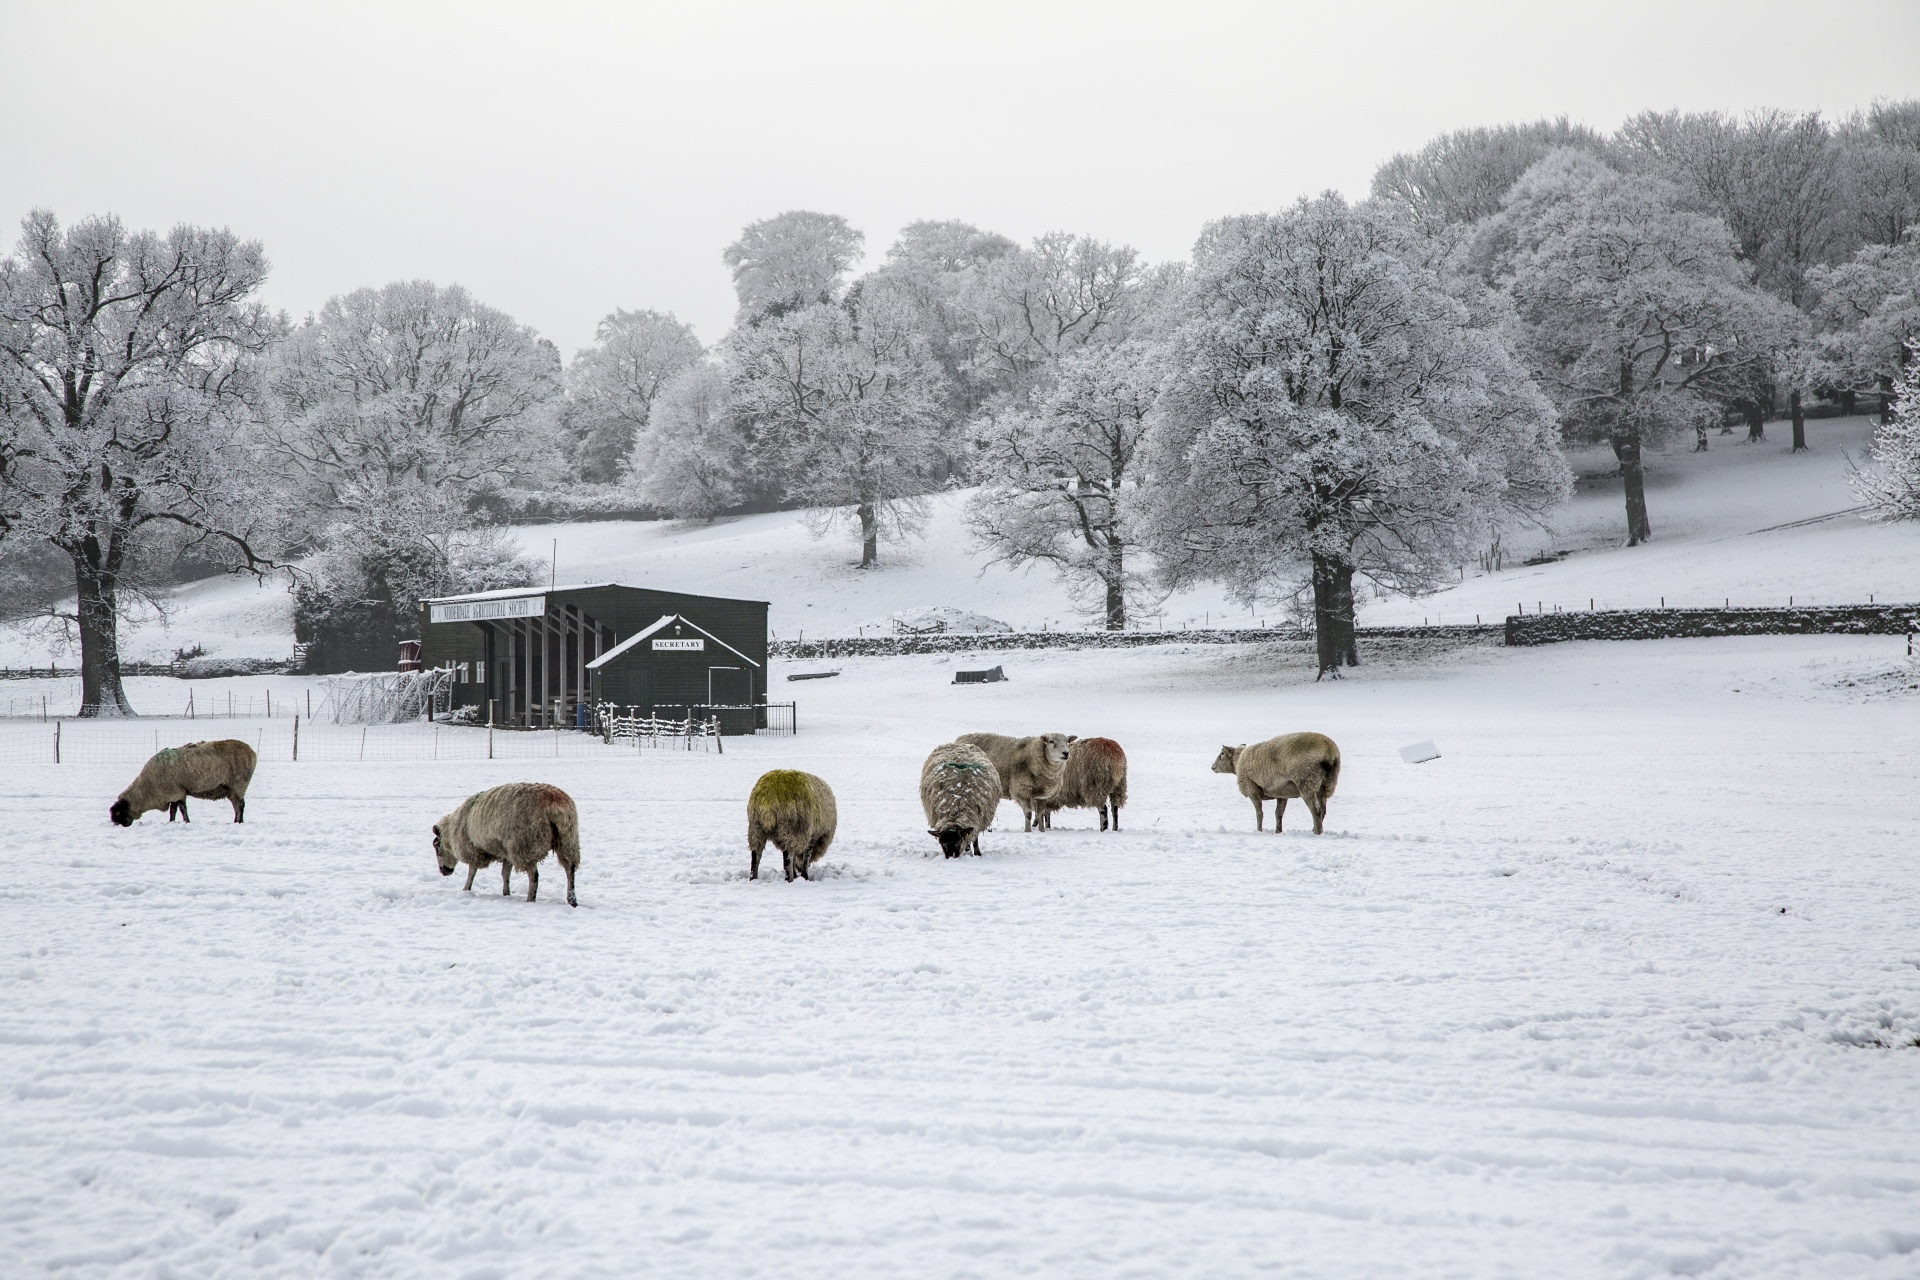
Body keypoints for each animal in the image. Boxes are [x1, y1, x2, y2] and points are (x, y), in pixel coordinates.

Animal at [108, 740, 257, 832]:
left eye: (119, 813)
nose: (121, 826)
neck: (147, 789)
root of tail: (251, 751)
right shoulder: (172, 793)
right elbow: (173, 810)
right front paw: (171, 822)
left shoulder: (177, 792)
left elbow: (182, 809)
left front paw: (186, 822)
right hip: (232, 788)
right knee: (238, 805)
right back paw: (238, 821)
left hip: (238, 784)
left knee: (239, 806)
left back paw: (237, 822)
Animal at [433, 782, 576, 909]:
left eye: (436, 846)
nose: (443, 871)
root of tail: (554, 803)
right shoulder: (506, 851)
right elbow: (505, 873)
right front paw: (506, 893)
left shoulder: (473, 849)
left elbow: (472, 872)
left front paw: (466, 889)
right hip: (567, 841)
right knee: (570, 869)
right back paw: (572, 900)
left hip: (526, 844)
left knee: (534, 876)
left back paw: (530, 899)